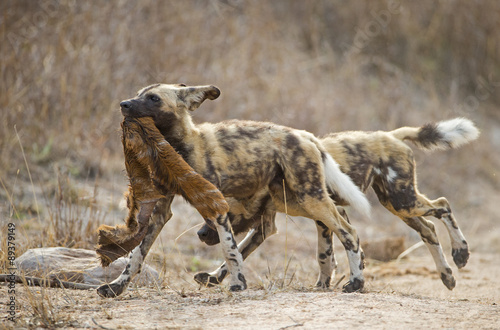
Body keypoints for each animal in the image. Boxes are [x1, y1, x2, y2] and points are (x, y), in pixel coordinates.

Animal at [103, 83, 372, 296]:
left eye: (153, 98)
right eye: (138, 94)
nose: (124, 104)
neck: (180, 146)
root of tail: (306, 135)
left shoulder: (216, 206)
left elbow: (230, 249)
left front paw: (238, 285)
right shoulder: (160, 213)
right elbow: (136, 256)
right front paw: (115, 288)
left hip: (307, 198)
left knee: (349, 232)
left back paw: (356, 283)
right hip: (295, 200)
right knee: (336, 217)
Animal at [197, 117, 478, 290]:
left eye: (218, 216)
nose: (200, 234)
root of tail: (390, 135)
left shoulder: (324, 212)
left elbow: (331, 251)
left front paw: (342, 282)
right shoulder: (277, 226)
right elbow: (238, 253)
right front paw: (212, 278)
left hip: (403, 201)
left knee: (443, 205)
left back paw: (460, 252)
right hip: (397, 205)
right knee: (429, 229)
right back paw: (447, 275)